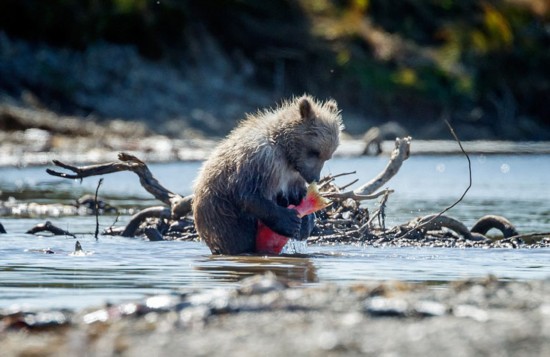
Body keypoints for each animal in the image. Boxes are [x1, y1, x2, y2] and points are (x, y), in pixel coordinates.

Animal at [192, 94, 342, 253]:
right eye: (315, 152)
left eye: (327, 156)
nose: (315, 178)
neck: (285, 152)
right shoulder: (262, 160)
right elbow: (248, 194)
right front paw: (289, 221)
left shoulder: (293, 174)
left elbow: (295, 194)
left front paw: (306, 222)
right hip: (224, 218)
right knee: (239, 237)